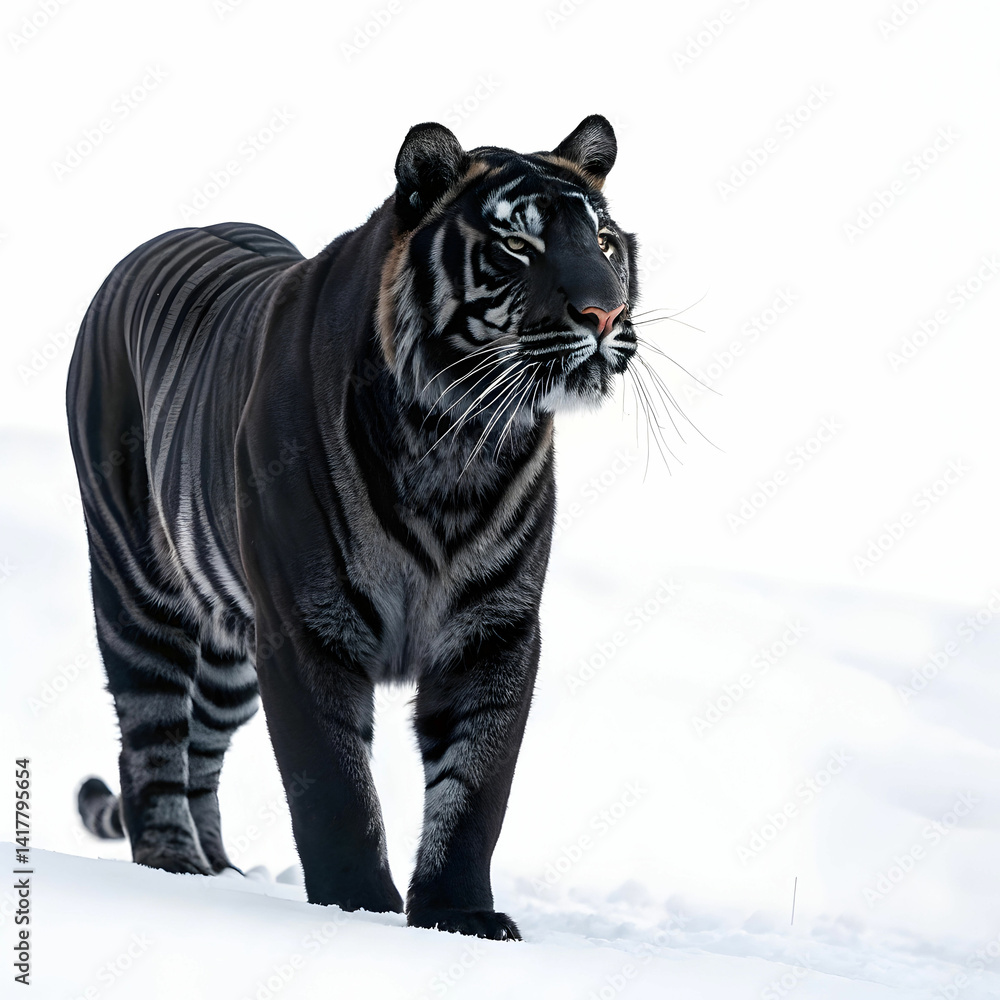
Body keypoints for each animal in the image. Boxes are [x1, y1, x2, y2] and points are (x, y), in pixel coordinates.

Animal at [67, 114, 640, 940]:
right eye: (515, 244)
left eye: (602, 240)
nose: (604, 314)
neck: (459, 440)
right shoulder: (308, 626)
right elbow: (334, 786)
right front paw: (357, 911)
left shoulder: (495, 630)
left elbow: (475, 787)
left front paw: (459, 915)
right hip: (138, 594)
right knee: (152, 736)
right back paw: (174, 865)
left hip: (233, 652)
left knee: (201, 747)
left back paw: (218, 871)